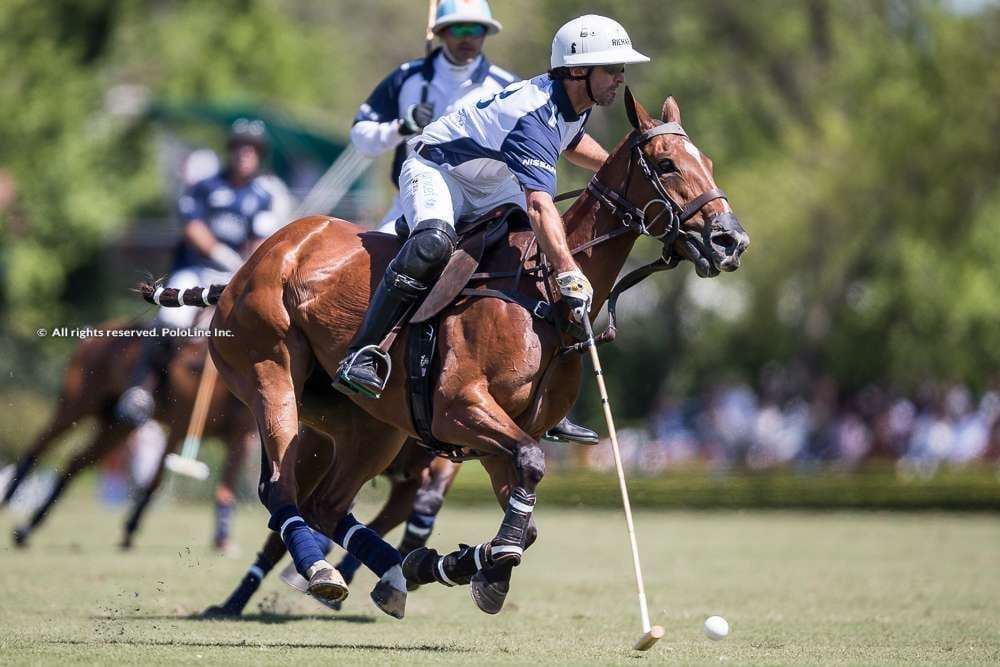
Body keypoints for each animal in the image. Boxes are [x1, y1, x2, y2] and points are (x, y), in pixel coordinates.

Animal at [145, 91, 748, 620]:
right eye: (666, 164)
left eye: (708, 162)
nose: (730, 241)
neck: (541, 293)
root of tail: (245, 269)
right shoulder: (459, 407)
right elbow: (530, 470)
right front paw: (482, 568)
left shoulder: (498, 435)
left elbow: (525, 509)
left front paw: (473, 568)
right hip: (270, 374)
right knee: (280, 491)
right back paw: (314, 575)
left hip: (368, 428)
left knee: (326, 504)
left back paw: (401, 571)